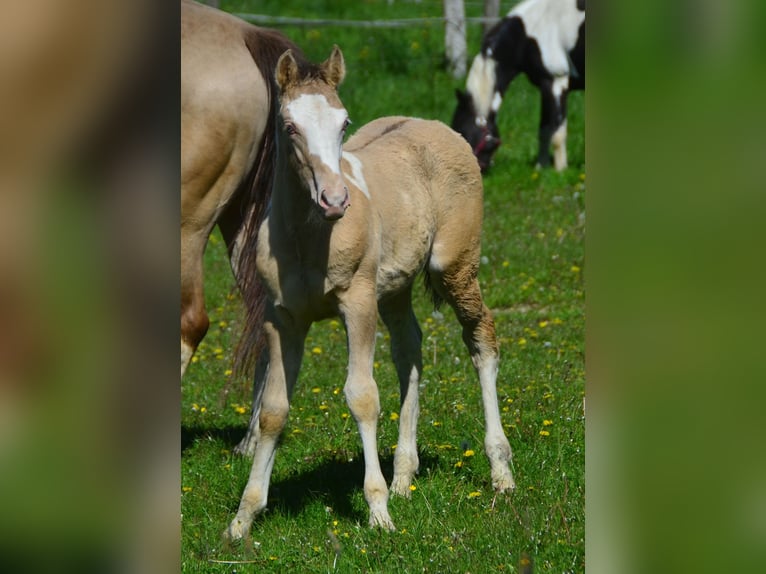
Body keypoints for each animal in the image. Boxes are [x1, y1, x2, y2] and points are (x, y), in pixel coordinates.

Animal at [225, 47, 520, 544]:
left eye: (344, 123)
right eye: (290, 126)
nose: (335, 200)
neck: (307, 238)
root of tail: (440, 127)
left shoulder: (357, 303)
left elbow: (362, 397)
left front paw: (378, 511)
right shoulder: (282, 318)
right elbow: (273, 409)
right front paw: (243, 518)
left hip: (454, 266)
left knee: (482, 341)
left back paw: (500, 471)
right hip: (395, 287)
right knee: (409, 350)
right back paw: (404, 475)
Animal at [450, 0, 588, 172]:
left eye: (462, 131)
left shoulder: (557, 83)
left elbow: (557, 133)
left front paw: (560, 170)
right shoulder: (545, 86)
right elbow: (544, 130)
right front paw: (541, 167)